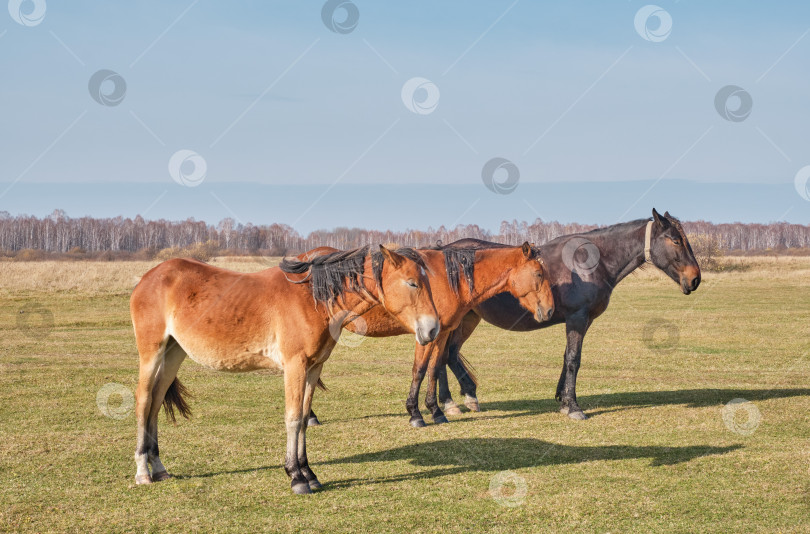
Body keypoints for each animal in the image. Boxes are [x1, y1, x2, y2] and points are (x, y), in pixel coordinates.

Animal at [129, 245, 438, 496]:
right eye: (412, 282)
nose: (433, 329)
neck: (312, 299)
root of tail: (147, 278)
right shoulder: (295, 366)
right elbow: (292, 418)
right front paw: (296, 477)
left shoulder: (313, 368)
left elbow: (303, 418)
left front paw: (309, 474)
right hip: (152, 353)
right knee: (143, 401)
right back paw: (143, 471)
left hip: (173, 354)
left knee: (155, 403)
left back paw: (159, 467)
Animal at [300, 245, 552, 430]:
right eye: (539, 274)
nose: (550, 310)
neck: (448, 279)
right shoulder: (425, 335)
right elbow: (419, 370)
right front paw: (415, 413)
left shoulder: (441, 333)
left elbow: (434, 368)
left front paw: (436, 410)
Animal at [436, 209, 696, 422]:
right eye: (675, 240)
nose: (695, 278)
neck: (590, 262)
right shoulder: (577, 319)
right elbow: (573, 359)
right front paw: (573, 407)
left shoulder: (583, 321)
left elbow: (566, 357)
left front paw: (562, 399)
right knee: (442, 356)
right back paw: (449, 403)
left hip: (468, 319)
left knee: (451, 354)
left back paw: (467, 397)